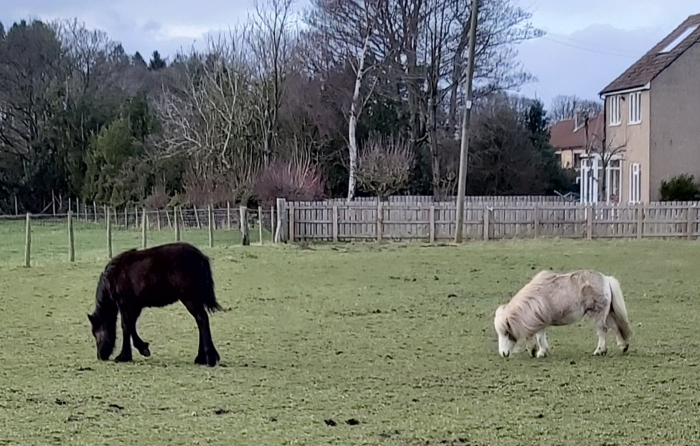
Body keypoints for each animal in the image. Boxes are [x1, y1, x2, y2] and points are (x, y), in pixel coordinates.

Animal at [89, 244, 221, 366]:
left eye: (95, 333)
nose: (100, 356)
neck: (114, 275)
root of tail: (200, 257)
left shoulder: (125, 304)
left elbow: (126, 326)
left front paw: (124, 356)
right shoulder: (135, 306)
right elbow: (131, 326)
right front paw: (142, 348)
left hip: (190, 298)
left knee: (202, 319)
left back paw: (209, 358)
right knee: (200, 321)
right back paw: (202, 357)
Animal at [492, 268, 636, 358]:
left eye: (506, 332)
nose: (503, 353)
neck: (533, 300)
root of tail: (606, 279)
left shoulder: (539, 321)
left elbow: (538, 336)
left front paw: (537, 352)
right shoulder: (540, 321)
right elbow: (540, 336)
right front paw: (540, 351)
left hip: (598, 315)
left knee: (602, 331)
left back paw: (599, 351)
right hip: (608, 314)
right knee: (616, 328)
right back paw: (623, 347)